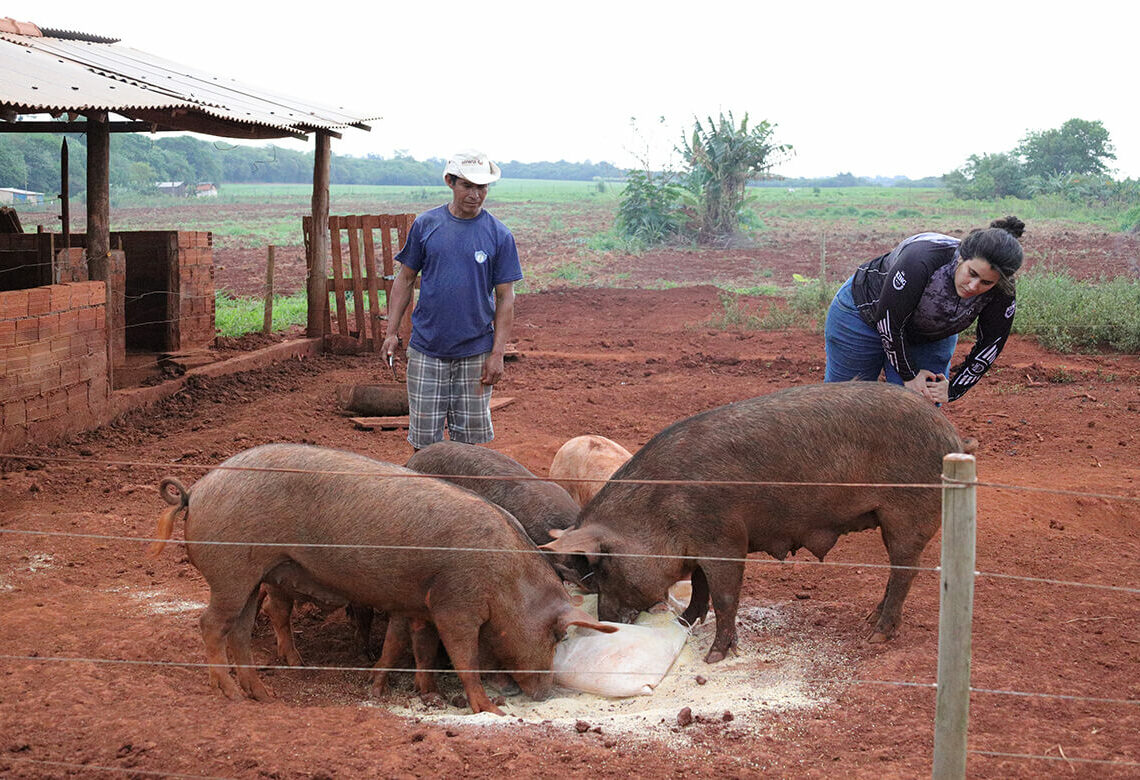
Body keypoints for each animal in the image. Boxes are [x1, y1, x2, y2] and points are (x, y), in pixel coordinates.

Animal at [155, 442, 615, 716]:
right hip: (230, 573)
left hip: (253, 578)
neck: (506, 580)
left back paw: (263, 695)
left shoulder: (420, 603)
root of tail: (196, 491)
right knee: (210, 624)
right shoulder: (455, 603)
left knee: (241, 630)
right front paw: (491, 709)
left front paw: (422, 693)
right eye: (558, 636)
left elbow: (417, 647)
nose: (545, 693)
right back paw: (231, 693)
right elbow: (463, 657)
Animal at [538, 380, 966, 661]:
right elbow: (699, 586)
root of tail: (952, 436)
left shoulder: (725, 538)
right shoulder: (700, 545)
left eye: (603, 568)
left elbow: (726, 595)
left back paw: (876, 636)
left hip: (908, 513)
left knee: (905, 571)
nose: (608, 620)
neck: (660, 509)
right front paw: (685, 622)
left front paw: (714, 657)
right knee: (897, 573)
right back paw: (869, 619)